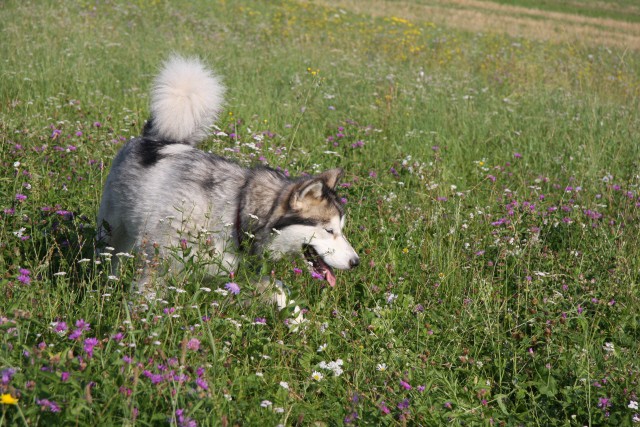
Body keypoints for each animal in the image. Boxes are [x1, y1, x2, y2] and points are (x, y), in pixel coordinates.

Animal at [99, 56, 360, 294]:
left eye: (341, 229)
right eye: (329, 231)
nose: (356, 262)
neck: (237, 208)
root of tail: (154, 139)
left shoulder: (229, 273)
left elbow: (278, 290)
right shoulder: (156, 266)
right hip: (111, 233)